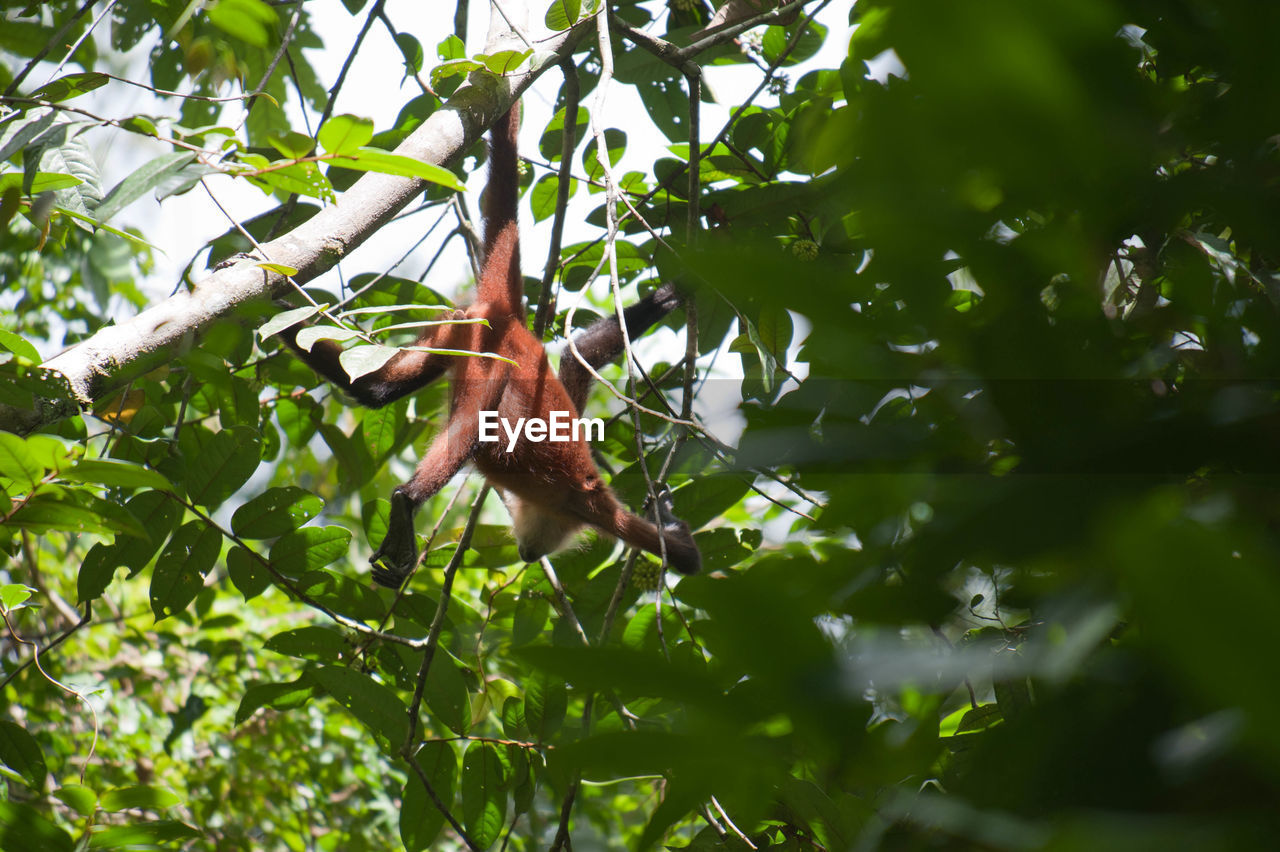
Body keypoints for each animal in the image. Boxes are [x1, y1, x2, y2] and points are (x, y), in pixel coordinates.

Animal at [275, 102, 706, 588]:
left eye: (536, 552)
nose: (528, 555)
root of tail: (510, 319)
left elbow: (578, 358)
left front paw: (675, 290)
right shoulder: (591, 505)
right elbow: (686, 558)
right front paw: (667, 512)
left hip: (457, 329)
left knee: (377, 390)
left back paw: (282, 320)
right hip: (486, 349)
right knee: (477, 417)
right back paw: (406, 503)